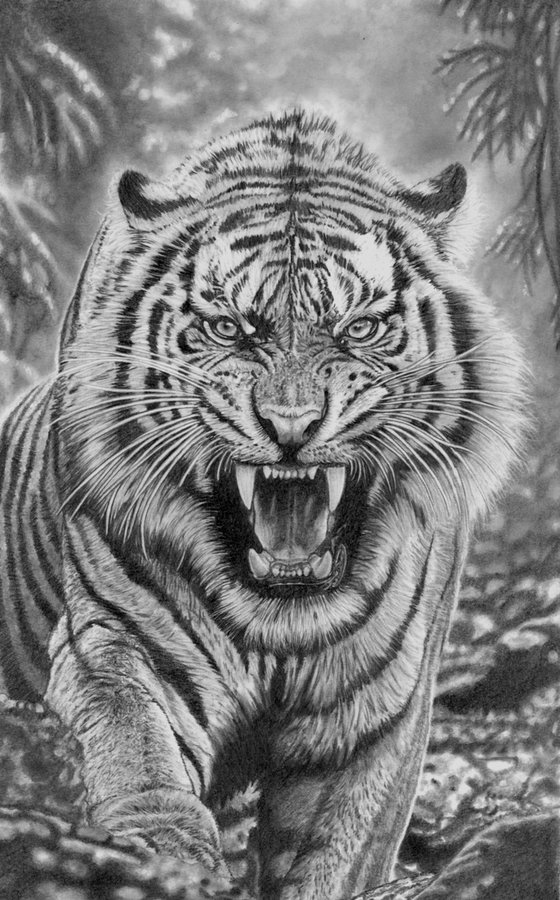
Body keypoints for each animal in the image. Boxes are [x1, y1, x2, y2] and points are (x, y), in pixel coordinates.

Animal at [0, 110, 526, 899]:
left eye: (359, 329)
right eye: (229, 329)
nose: (291, 425)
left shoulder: (377, 715)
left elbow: (333, 855)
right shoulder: (117, 638)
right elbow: (138, 750)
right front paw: (162, 855)